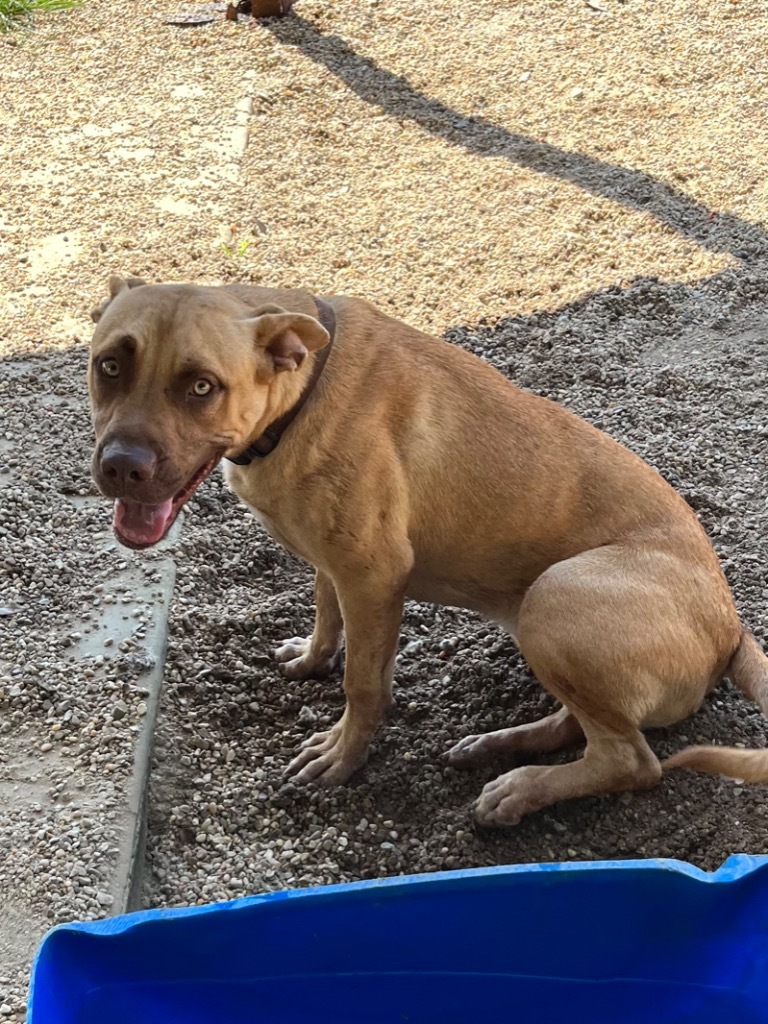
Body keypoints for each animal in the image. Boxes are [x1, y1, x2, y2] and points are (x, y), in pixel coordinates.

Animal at [87, 274, 768, 823]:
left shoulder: (372, 577)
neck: (298, 392)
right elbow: (325, 615)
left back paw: (521, 789)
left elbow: (363, 685)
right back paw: (502, 744)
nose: (121, 467)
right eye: (109, 366)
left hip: (556, 596)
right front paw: (311, 657)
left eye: (202, 386)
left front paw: (343, 754)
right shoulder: (333, 563)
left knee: (633, 760)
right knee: (588, 726)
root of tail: (730, 628)